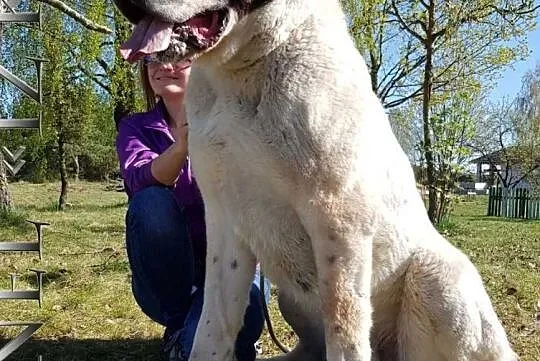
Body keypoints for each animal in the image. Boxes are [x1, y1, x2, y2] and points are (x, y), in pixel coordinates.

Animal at [116, 0, 516, 360]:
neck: (243, 69)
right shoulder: (224, 222)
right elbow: (214, 327)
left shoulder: (338, 220)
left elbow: (345, 330)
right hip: (292, 297)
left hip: (438, 277)